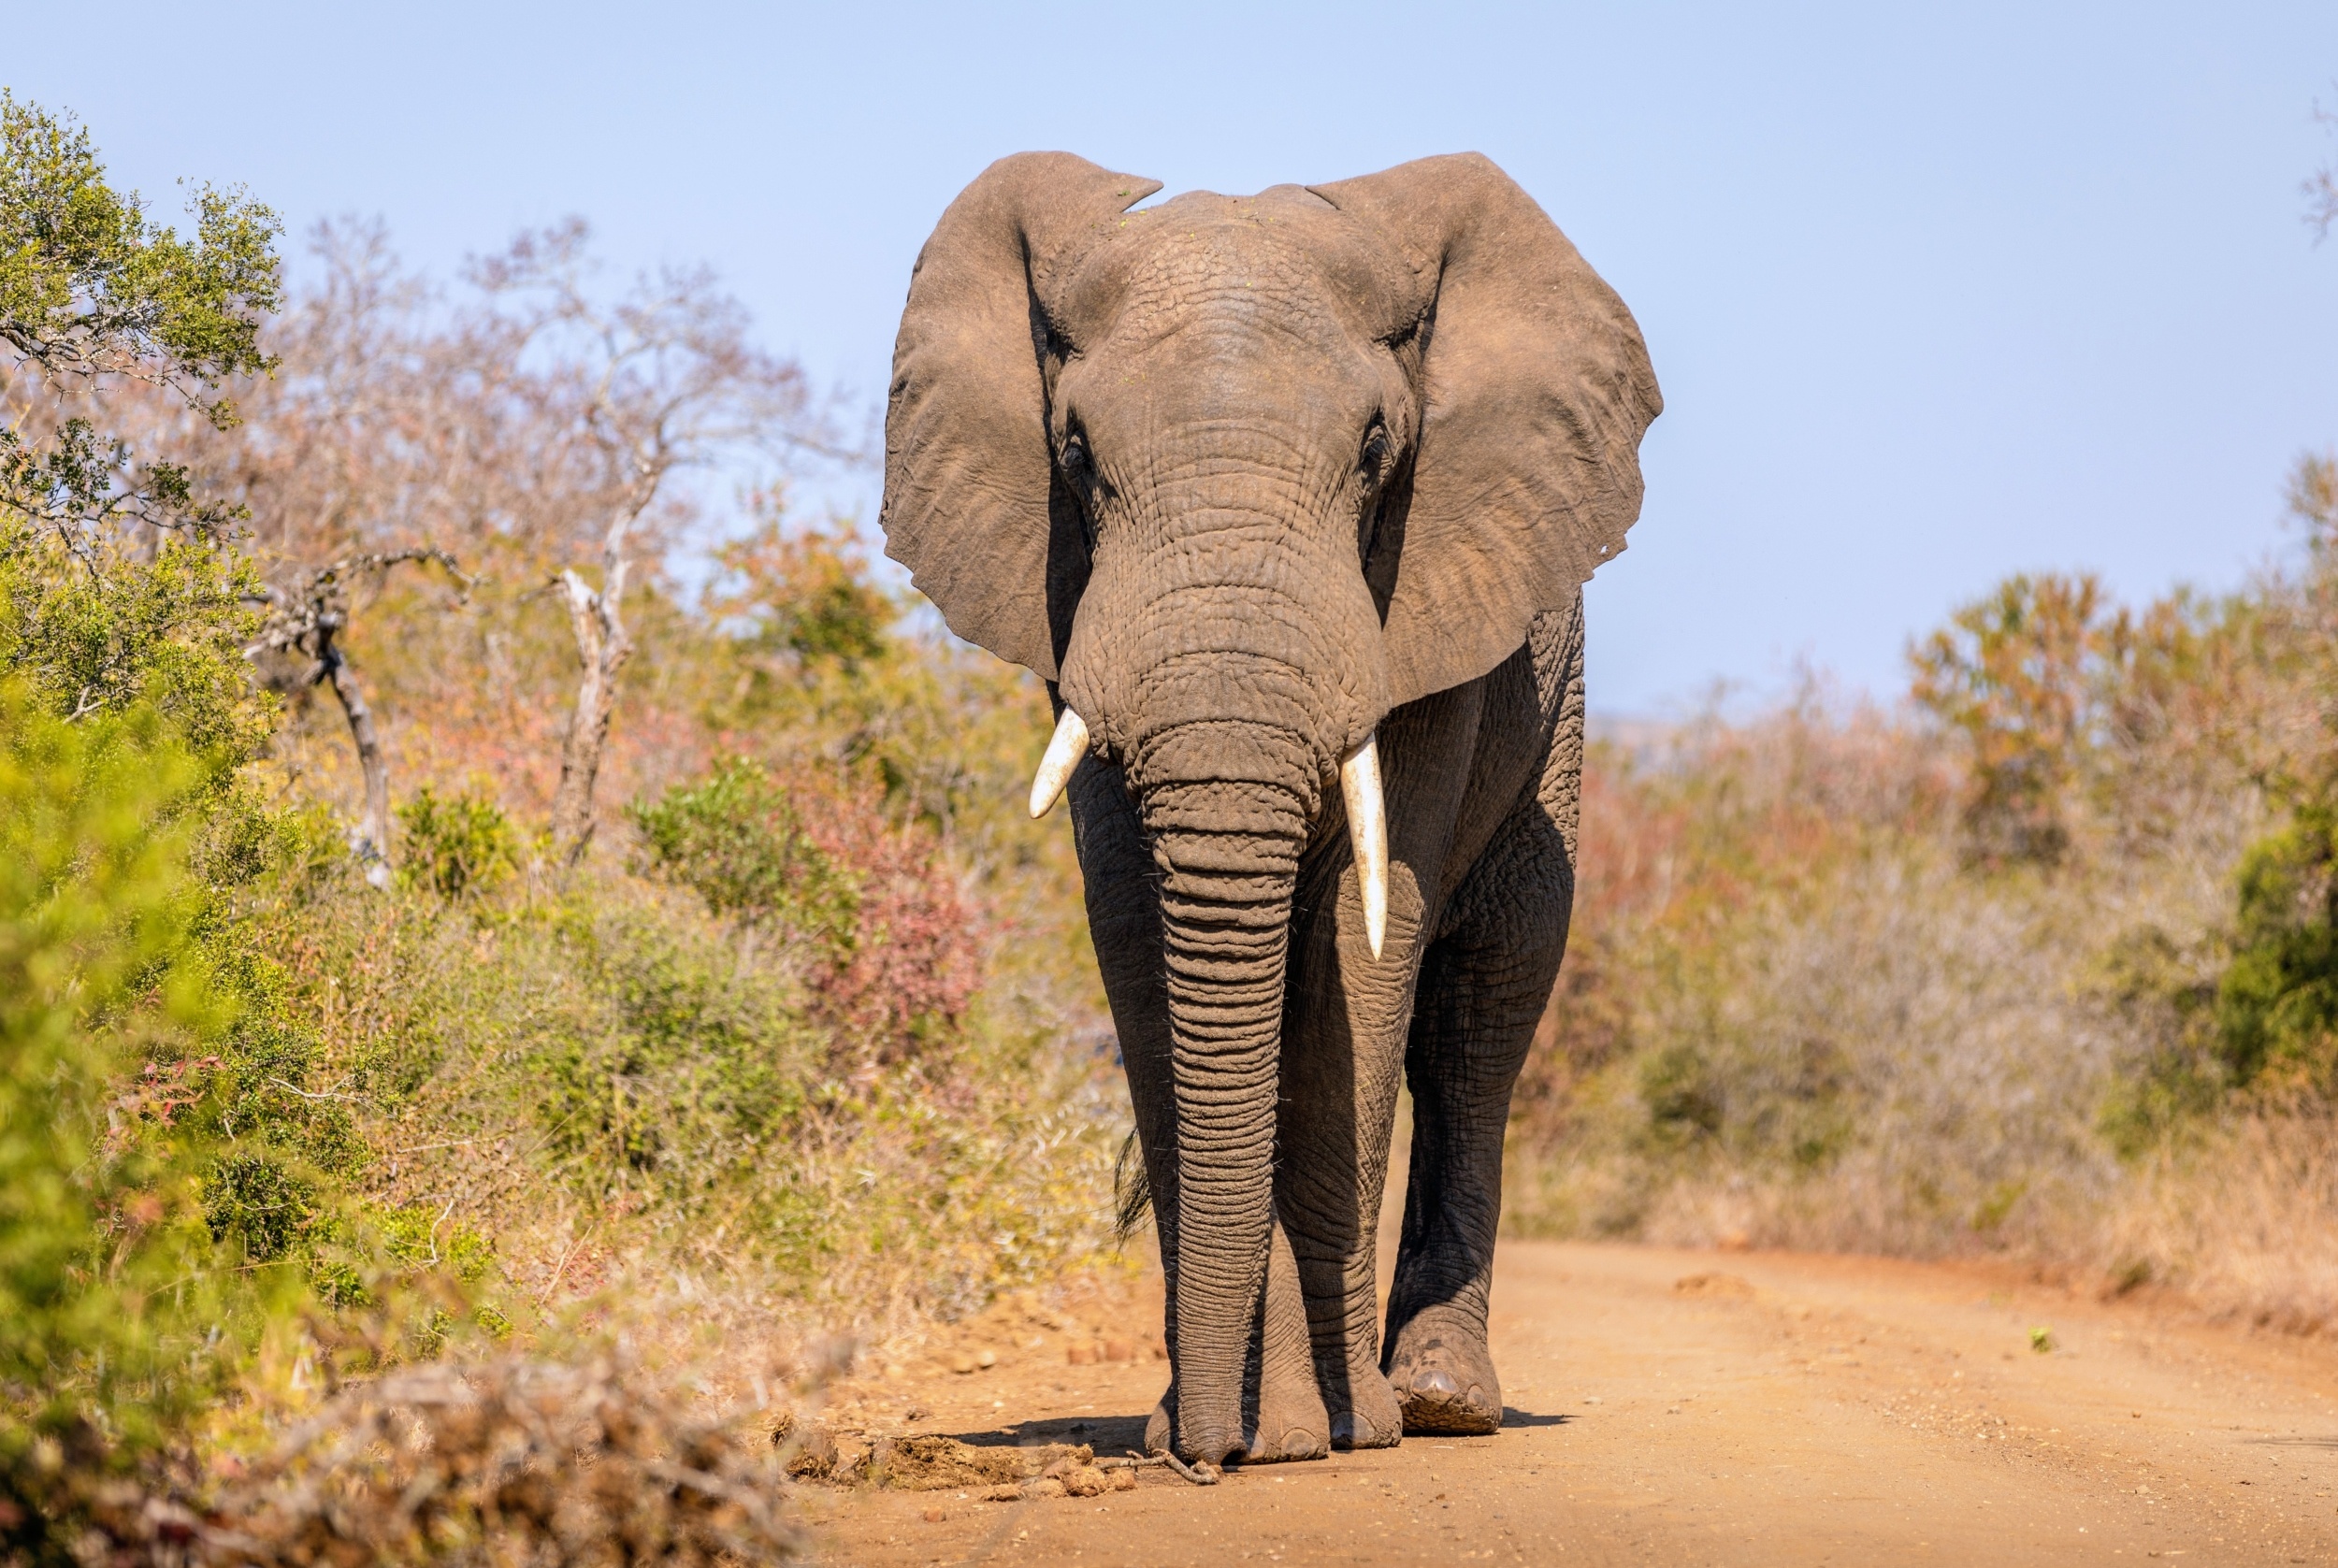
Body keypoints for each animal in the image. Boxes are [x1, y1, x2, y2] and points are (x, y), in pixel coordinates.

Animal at [880, 151, 1659, 1469]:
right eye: (1074, 450)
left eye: (1376, 446)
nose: (1201, 1457)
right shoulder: (1074, 617)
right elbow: (1137, 934)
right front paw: (1198, 1429)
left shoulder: (1423, 608)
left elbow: (1363, 944)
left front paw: (1312, 1437)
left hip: (1554, 730)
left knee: (1485, 1012)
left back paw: (1437, 1400)